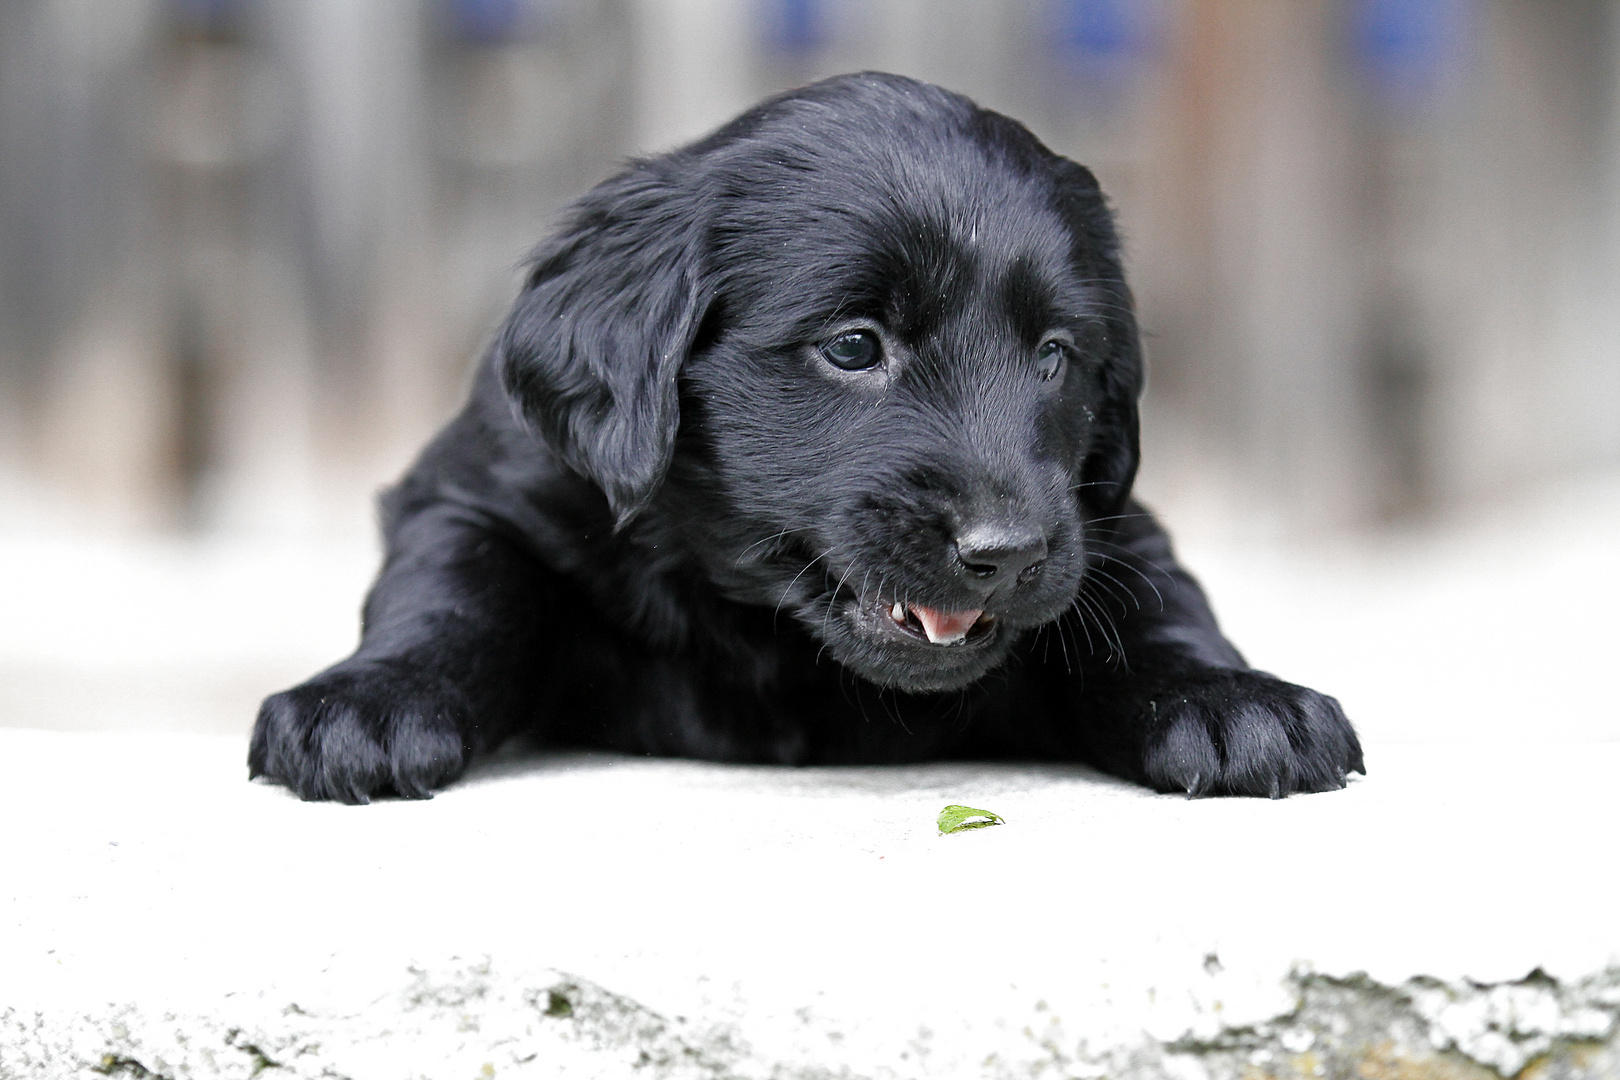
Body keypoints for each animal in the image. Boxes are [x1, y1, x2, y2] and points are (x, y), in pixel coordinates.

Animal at [249, 71, 1367, 803]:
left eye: (1056, 356)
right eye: (854, 345)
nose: (1007, 554)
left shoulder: (1103, 521)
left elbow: (1151, 599)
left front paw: (1230, 699)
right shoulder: (484, 490)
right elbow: (455, 590)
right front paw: (369, 702)